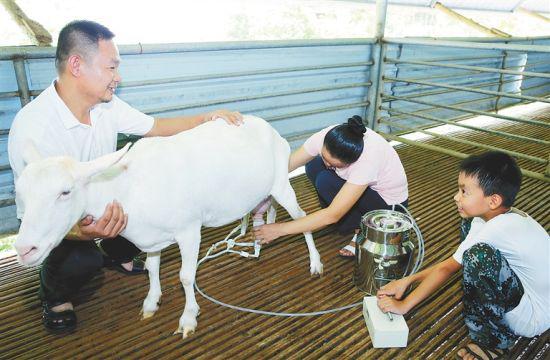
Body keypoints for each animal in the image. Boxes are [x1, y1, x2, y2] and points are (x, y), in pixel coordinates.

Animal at [14, 115, 324, 338]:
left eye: (65, 192)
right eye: (21, 193)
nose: (24, 249)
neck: (128, 184)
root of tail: (269, 129)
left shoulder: (189, 230)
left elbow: (186, 276)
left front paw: (188, 318)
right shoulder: (152, 238)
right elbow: (152, 268)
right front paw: (151, 303)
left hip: (282, 182)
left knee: (303, 218)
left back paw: (315, 263)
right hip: (263, 190)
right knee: (266, 207)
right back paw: (262, 236)